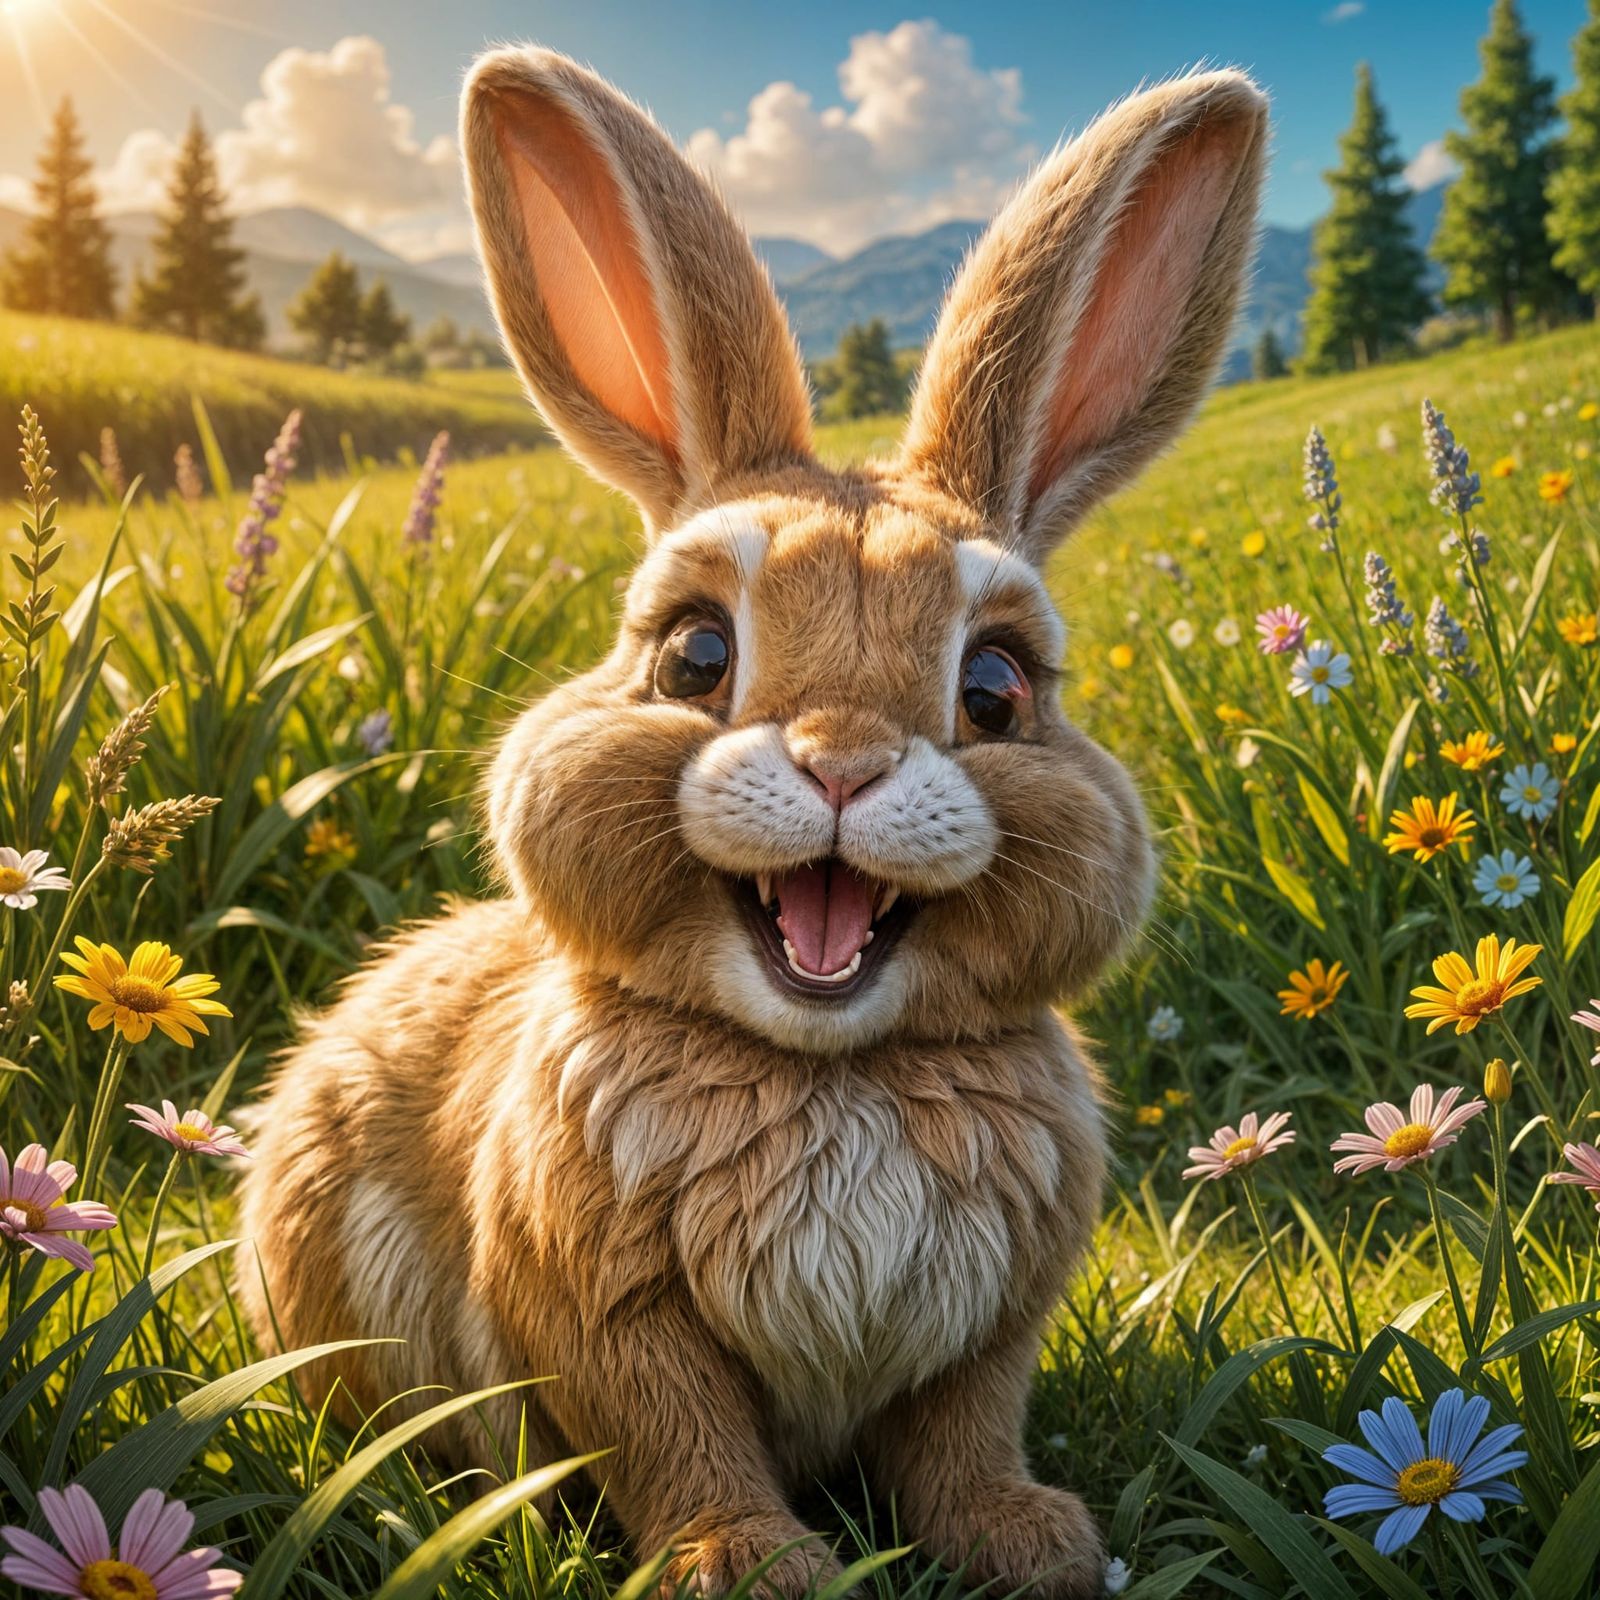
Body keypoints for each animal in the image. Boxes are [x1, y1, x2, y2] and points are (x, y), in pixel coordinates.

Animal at [237, 46, 1267, 1600]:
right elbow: (678, 1435)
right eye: (692, 657)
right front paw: (747, 1562)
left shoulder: (987, 1328)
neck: (825, 1070)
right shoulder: (605, 1315)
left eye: (996, 688)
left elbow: (962, 1438)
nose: (843, 764)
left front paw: (1029, 1542)